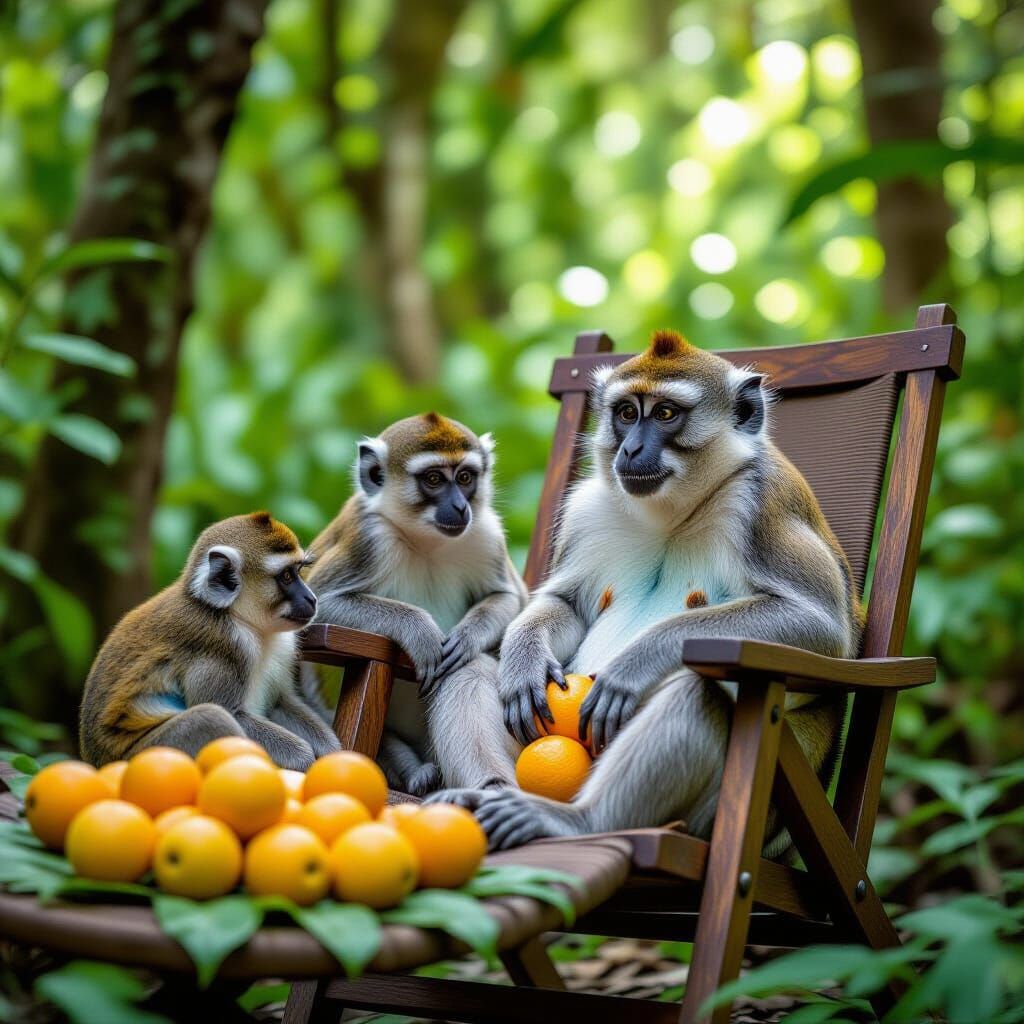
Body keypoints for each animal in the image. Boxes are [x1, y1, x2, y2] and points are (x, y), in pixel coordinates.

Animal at [79, 512, 341, 771]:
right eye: (286, 576)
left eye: (298, 571)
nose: (311, 598)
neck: (237, 618)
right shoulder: (225, 648)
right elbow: (232, 713)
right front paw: (305, 759)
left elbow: (280, 702)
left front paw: (332, 751)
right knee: (211, 718)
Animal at [305, 412, 527, 796]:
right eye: (434, 479)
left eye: (465, 477)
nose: (460, 506)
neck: (426, 540)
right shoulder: (370, 536)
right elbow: (316, 605)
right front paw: (418, 629)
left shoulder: (485, 534)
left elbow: (510, 597)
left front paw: (467, 637)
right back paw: (411, 770)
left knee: (468, 667)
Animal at [428, 330, 861, 854]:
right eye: (627, 413)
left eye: (666, 413)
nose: (631, 449)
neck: (674, 513)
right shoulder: (587, 509)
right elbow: (565, 604)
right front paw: (524, 657)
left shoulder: (763, 503)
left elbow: (820, 625)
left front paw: (635, 662)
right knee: (471, 666)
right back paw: (486, 794)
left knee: (696, 690)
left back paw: (577, 821)